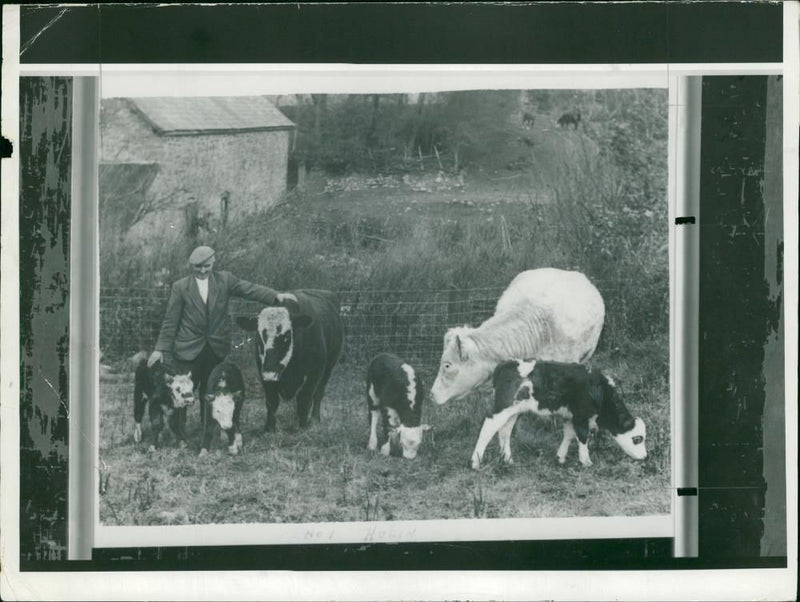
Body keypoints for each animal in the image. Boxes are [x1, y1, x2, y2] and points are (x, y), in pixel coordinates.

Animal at [233, 288, 342, 428]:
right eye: (258, 336)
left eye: (287, 336)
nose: (271, 373)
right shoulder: (264, 372)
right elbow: (272, 401)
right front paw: (269, 428)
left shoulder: (315, 372)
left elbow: (305, 398)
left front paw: (302, 426)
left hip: (329, 367)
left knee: (318, 393)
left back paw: (314, 418)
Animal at [472, 356, 648, 468]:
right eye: (637, 439)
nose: (645, 457)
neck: (600, 391)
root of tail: (505, 364)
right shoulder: (581, 416)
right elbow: (582, 437)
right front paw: (586, 462)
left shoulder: (570, 416)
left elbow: (569, 435)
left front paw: (560, 457)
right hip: (502, 407)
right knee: (488, 426)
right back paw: (476, 462)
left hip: (513, 411)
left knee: (504, 431)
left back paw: (507, 460)